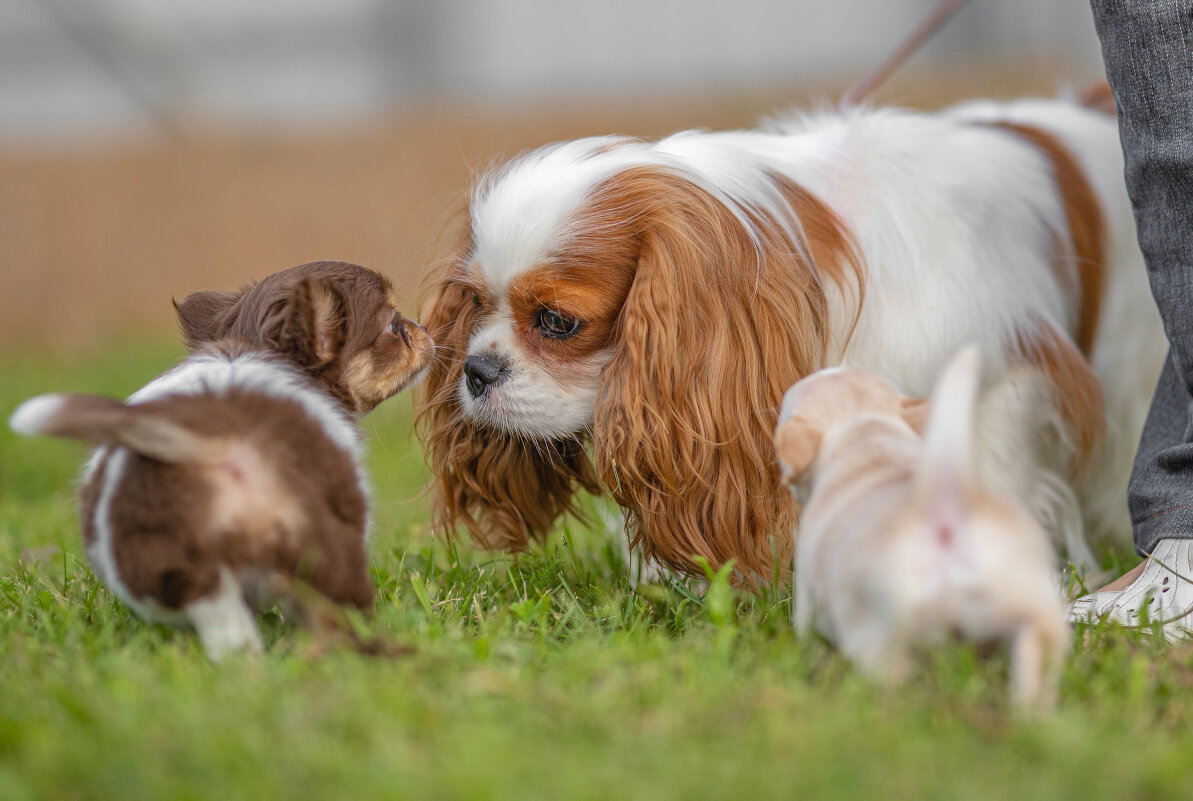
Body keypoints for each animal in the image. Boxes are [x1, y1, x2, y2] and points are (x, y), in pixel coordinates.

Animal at [9, 260, 431, 658]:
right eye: (394, 325)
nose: (423, 328)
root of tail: (210, 442)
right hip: (328, 545)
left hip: (182, 573)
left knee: (229, 633)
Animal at [777, 348, 1068, 711]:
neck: (866, 434)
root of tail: (945, 509)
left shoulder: (806, 586)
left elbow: (804, 627)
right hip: (1030, 605)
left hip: (881, 632)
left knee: (893, 684)